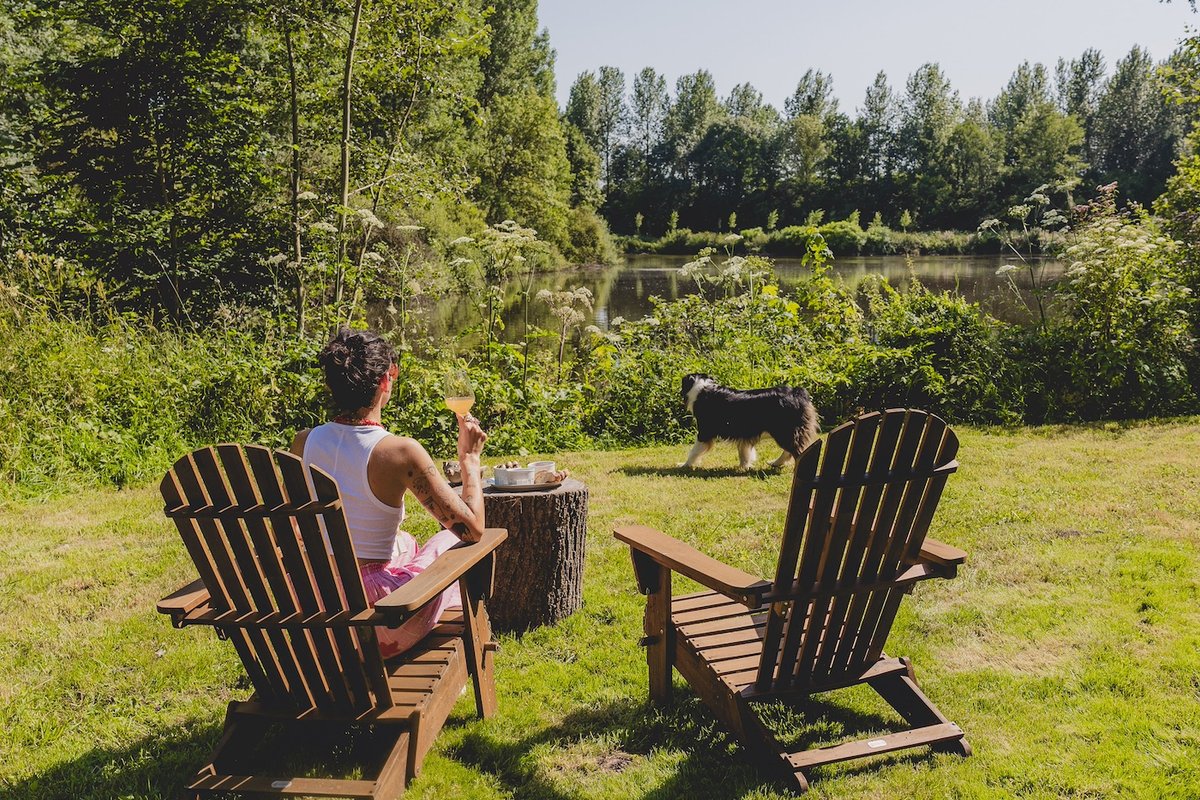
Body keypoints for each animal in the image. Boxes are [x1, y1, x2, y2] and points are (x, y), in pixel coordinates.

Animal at [681, 374, 820, 470]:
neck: (702, 388)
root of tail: (796, 392)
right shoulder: (743, 434)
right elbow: (744, 451)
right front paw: (744, 466)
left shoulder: (704, 432)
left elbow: (693, 451)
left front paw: (684, 465)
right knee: (790, 451)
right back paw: (776, 463)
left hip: (784, 432)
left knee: (798, 450)